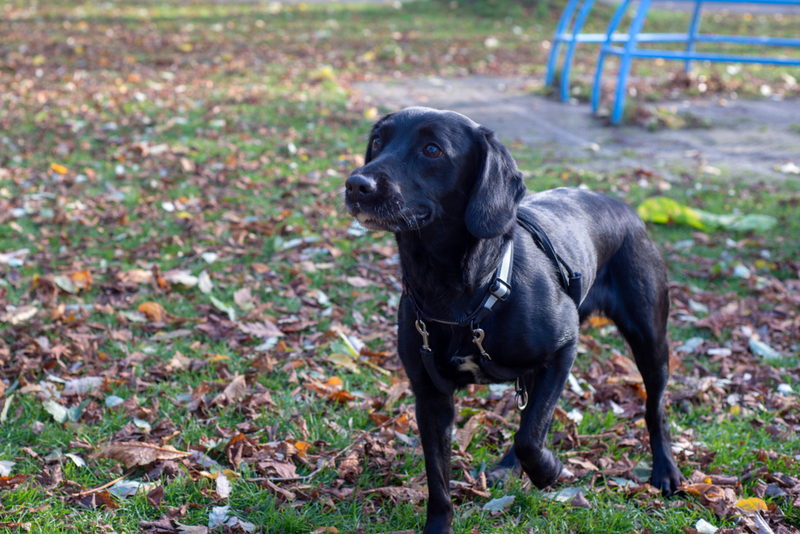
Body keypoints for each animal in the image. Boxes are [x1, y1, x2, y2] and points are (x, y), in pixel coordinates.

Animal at [344, 109, 680, 534]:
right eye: (377, 141)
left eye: (432, 149)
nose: (356, 184)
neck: (454, 290)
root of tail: (626, 208)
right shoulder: (431, 396)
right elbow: (440, 480)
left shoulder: (564, 348)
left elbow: (531, 436)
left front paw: (548, 471)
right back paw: (507, 469)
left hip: (650, 340)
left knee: (653, 409)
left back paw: (665, 470)